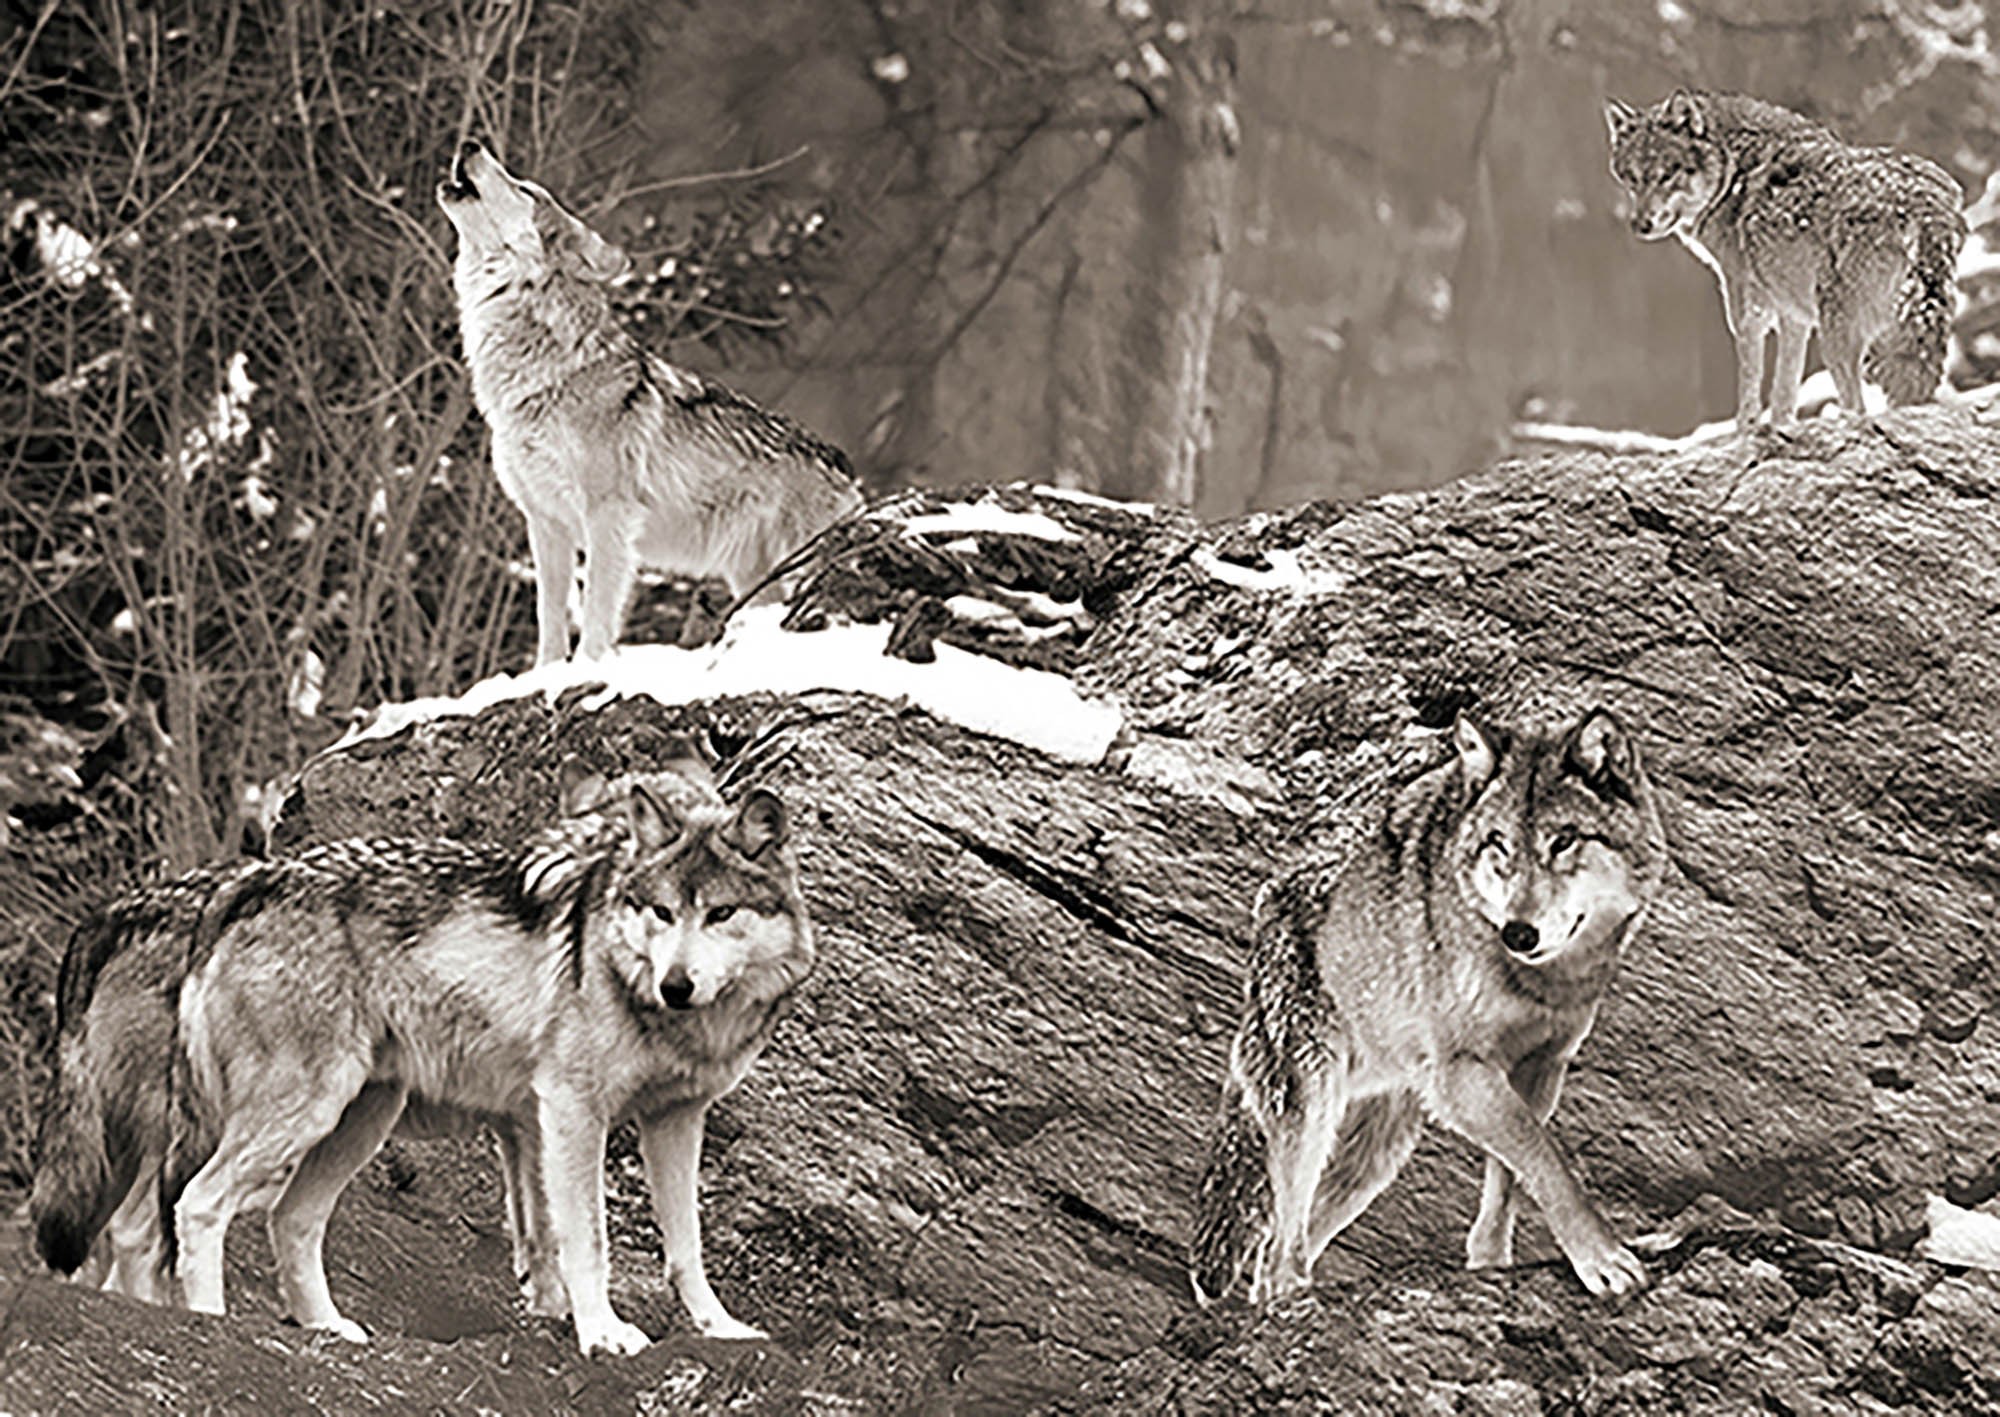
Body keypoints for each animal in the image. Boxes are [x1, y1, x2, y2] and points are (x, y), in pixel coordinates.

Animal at [33, 762, 812, 1356]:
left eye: (719, 914)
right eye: (661, 911)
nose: (675, 985)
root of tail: (239, 888)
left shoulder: (670, 1119)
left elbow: (681, 1245)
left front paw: (717, 1328)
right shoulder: (570, 1111)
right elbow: (584, 1236)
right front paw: (602, 1335)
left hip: (357, 1119)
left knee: (279, 1221)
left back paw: (327, 1328)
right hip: (290, 1115)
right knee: (193, 1208)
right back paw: (209, 1323)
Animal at [437, 140, 864, 664]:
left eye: (523, 188)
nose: (470, 143)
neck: (548, 372)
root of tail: (844, 464)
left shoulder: (607, 515)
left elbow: (597, 609)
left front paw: (589, 666)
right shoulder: (545, 521)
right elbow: (549, 614)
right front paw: (548, 671)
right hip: (752, 579)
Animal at [1190, 708, 1667, 1306]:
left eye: (1563, 841)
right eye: (1499, 845)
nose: (1519, 933)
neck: (1542, 981)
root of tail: (1268, 897)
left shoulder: (1539, 1070)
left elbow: (1511, 1177)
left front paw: (1491, 1263)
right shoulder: (1461, 1075)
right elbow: (1545, 1160)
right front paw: (1602, 1258)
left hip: (1375, 1160)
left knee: (1277, 1251)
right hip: (1313, 1111)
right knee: (1279, 1247)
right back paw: (1291, 1301)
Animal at [1605, 90, 1964, 433]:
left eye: (1667, 175)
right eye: (1632, 178)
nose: (1640, 225)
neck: (1730, 172)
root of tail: (1923, 206)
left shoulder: (1748, 312)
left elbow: (1751, 388)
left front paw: (1746, 432)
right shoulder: (1794, 315)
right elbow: (1784, 392)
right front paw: (1782, 429)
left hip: (1838, 338)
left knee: (1857, 406)